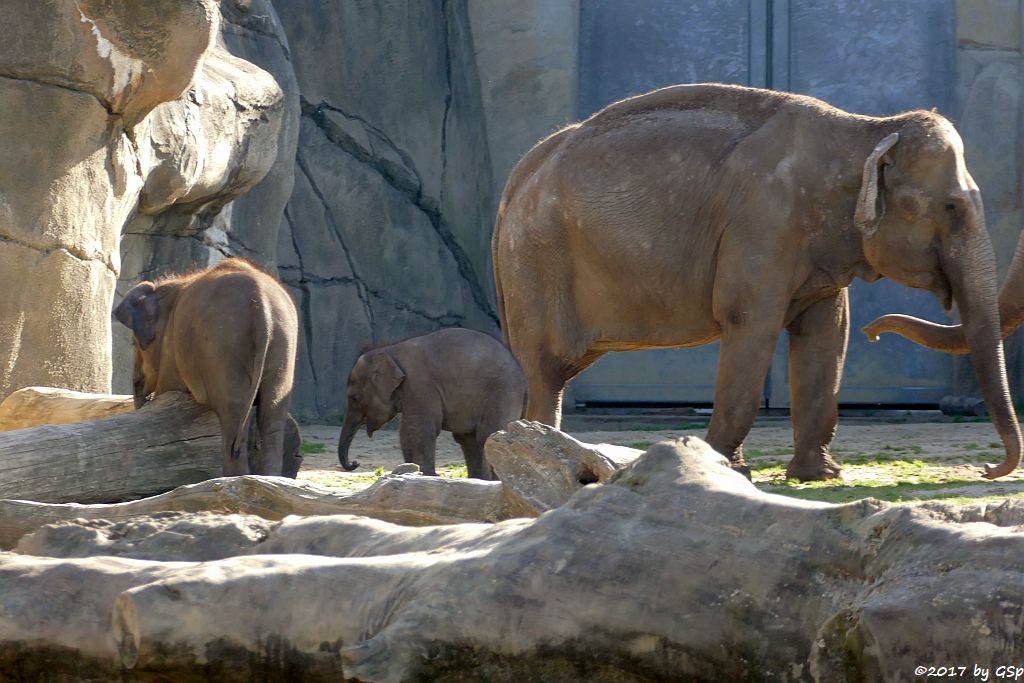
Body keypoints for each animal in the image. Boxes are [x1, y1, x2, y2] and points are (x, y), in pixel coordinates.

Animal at [117, 255, 299, 475]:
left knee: (234, 423)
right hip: (282, 346)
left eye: (134, 343)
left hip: (223, 345)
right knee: (272, 416)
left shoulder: (171, 346)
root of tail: (263, 309)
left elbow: (167, 389)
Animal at [337, 327, 528, 481]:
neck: (389, 350)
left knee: (487, 436)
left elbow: (420, 430)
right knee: (468, 439)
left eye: (354, 398)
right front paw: (413, 472)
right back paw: (479, 480)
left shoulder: (420, 385)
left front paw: (426, 476)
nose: (355, 463)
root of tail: (524, 380)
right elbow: (406, 432)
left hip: (503, 393)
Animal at [491, 82, 1019, 481]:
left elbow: (828, 333)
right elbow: (751, 322)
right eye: (952, 207)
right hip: (535, 261)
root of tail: (517, 177)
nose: (988, 468)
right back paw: (536, 457)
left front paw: (818, 475)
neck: (865, 129)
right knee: (545, 366)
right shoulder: (763, 223)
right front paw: (725, 470)